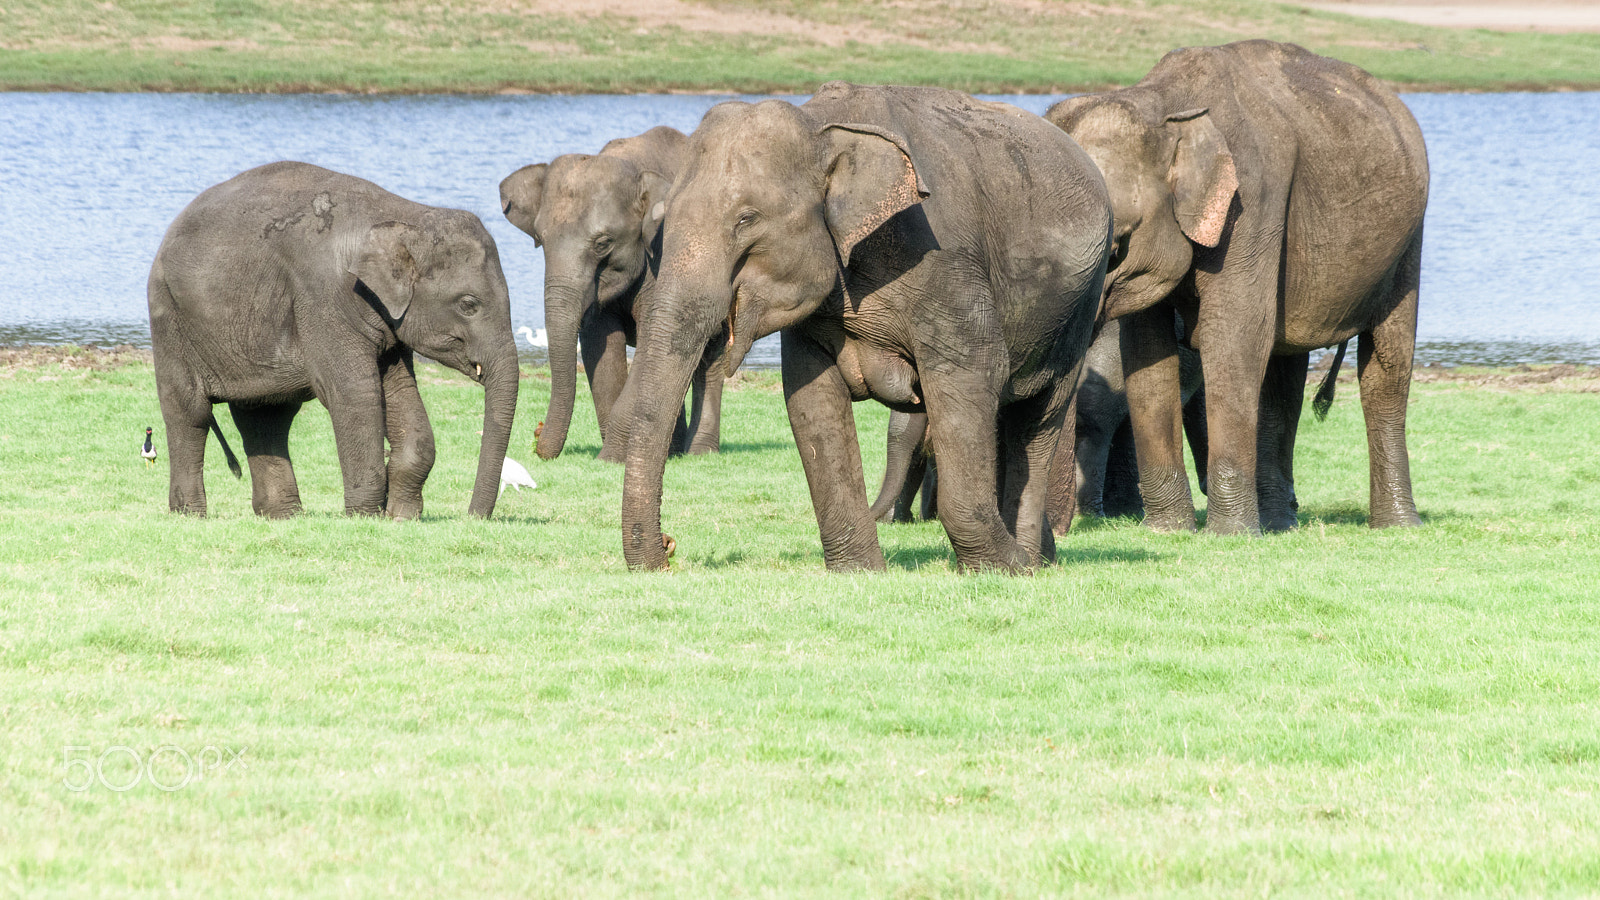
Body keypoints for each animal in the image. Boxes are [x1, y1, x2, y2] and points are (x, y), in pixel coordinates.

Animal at [148, 160, 515, 518]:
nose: (472, 516)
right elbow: (355, 393)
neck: (404, 214)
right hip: (169, 317)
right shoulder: (323, 297)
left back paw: (284, 516)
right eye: (468, 304)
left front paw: (401, 516)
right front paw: (365, 516)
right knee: (190, 412)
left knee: (266, 416)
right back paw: (190, 514)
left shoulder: (388, 318)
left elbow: (400, 390)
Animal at [499, 124, 726, 461]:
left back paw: (697, 452)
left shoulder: (664, 258)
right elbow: (600, 349)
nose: (536, 436)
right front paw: (614, 455)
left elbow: (652, 343)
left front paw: (610, 457)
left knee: (709, 359)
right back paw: (670, 451)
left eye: (603, 243)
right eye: (540, 237)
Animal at [617, 85, 1107, 573]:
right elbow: (811, 400)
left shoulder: (946, 263)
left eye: (746, 219)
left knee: (1039, 418)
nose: (669, 546)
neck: (818, 124)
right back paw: (1041, 556)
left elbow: (971, 376)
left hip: (1079, 306)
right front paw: (861, 570)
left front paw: (1003, 568)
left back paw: (1029, 560)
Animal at [1043, 40, 1433, 531]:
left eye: (1115, 247)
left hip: (1407, 240)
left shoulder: (1252, 202)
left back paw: (1397, 524)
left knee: (1385, 365)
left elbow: (1233, 336)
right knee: (1283, 374)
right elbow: (1147, 352)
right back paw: (1280, 524)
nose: (1059, 529)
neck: (1162, 102)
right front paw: (1170, 531)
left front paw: (1230, 534)